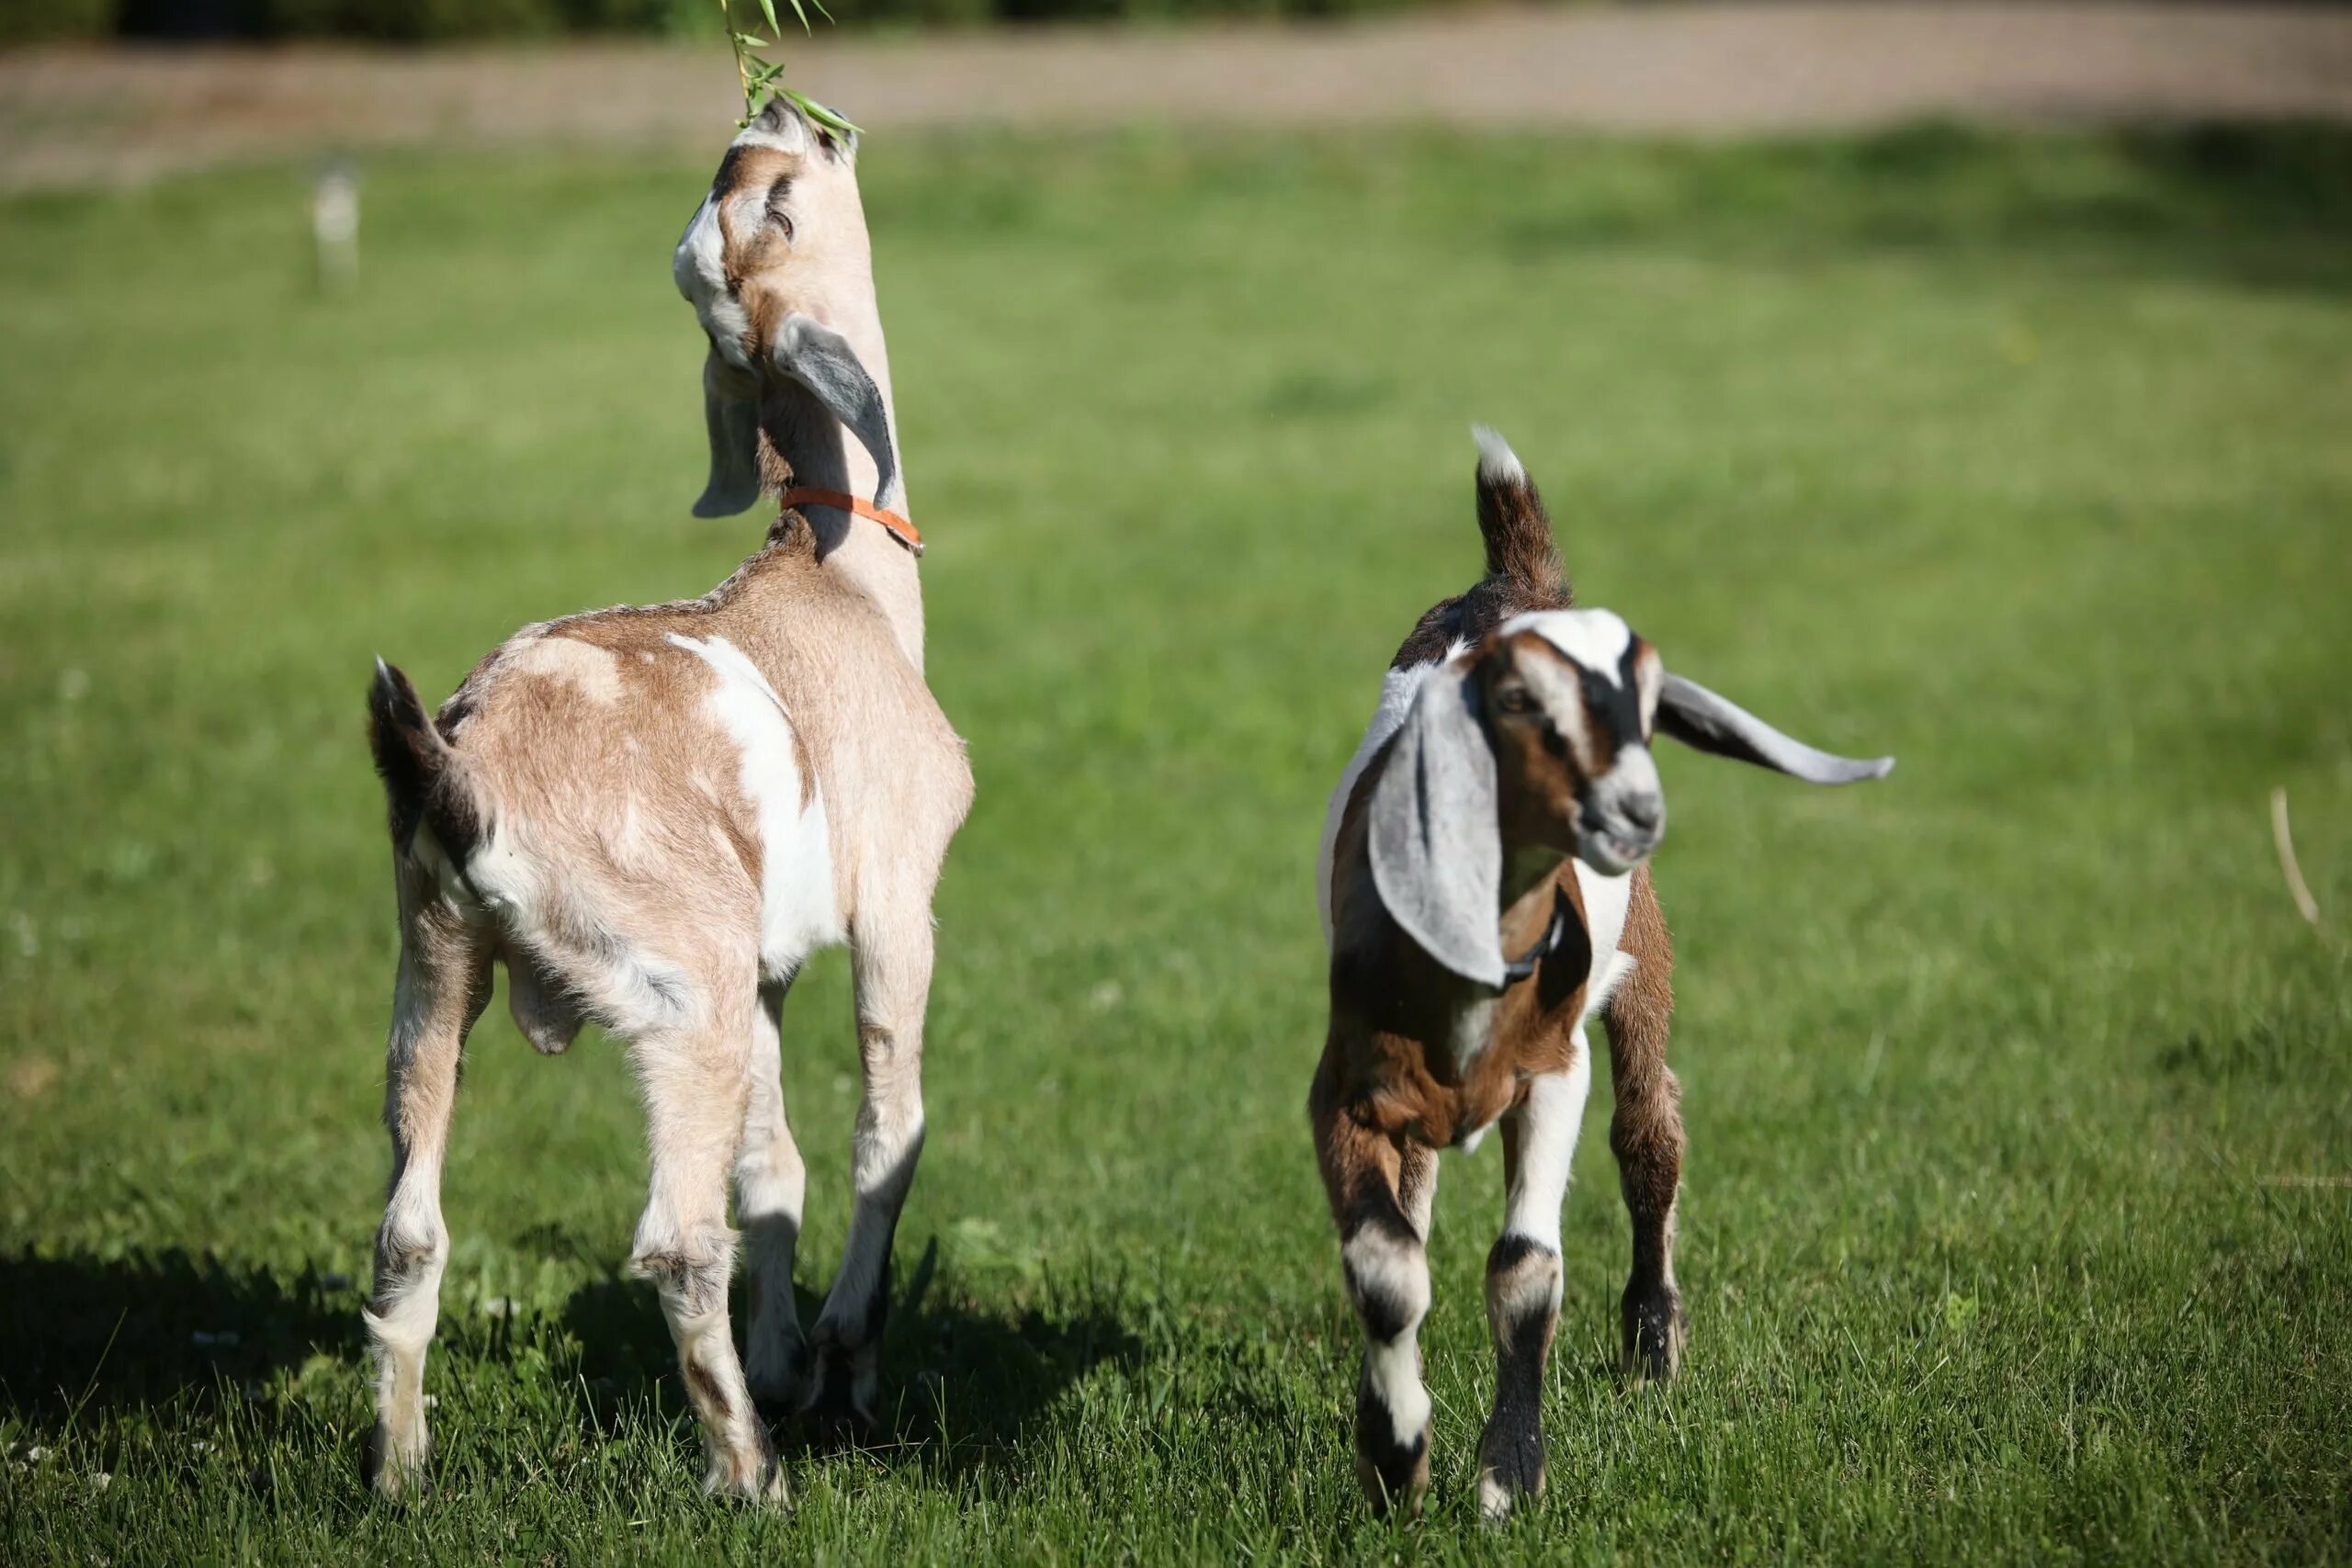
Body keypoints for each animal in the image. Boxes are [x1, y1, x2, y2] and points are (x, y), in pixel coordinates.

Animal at [357, 101, 964, 1504]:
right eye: (777, 205)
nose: (780, 113)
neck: (842, 590)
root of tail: (466, 773)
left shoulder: (769, 962)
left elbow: (773, 1165)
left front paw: (789, 1359)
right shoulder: (895, 899)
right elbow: (885, 1131)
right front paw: (844, 1363)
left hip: (437, 958)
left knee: (408, 1228)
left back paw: (398, 1474)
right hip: (677, 981)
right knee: (676, 1239)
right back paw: (751, 1476)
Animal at [1317, 430, 1900, 1523]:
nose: (1628, 809)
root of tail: (1516, 577)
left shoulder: (1554, 1067)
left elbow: (1526, 1267)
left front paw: (1506, 1477)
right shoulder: (1352, 1077)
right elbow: (1386, 1264)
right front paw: (1394, 1456)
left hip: (1643, 955)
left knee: (1649, 1132)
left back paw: (1652, 1347)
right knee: (1423, 1197)